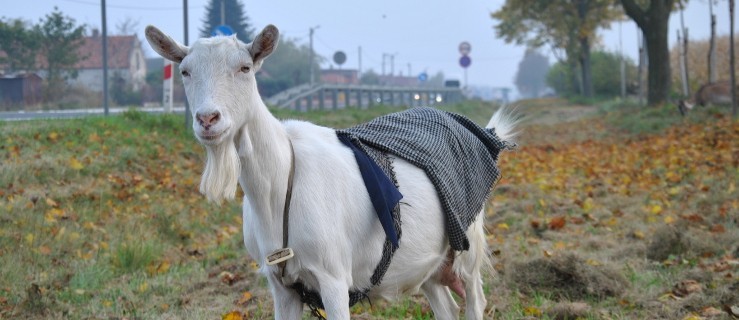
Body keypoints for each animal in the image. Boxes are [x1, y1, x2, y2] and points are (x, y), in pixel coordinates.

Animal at [145, 23, 516, 318]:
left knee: (475, 299)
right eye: (185, 71)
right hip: (427, 259)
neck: (279, 184)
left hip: (469, 240)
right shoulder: (280, 286)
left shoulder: (334, 278)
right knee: (445, 304)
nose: (208, 119)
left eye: (245, 67)